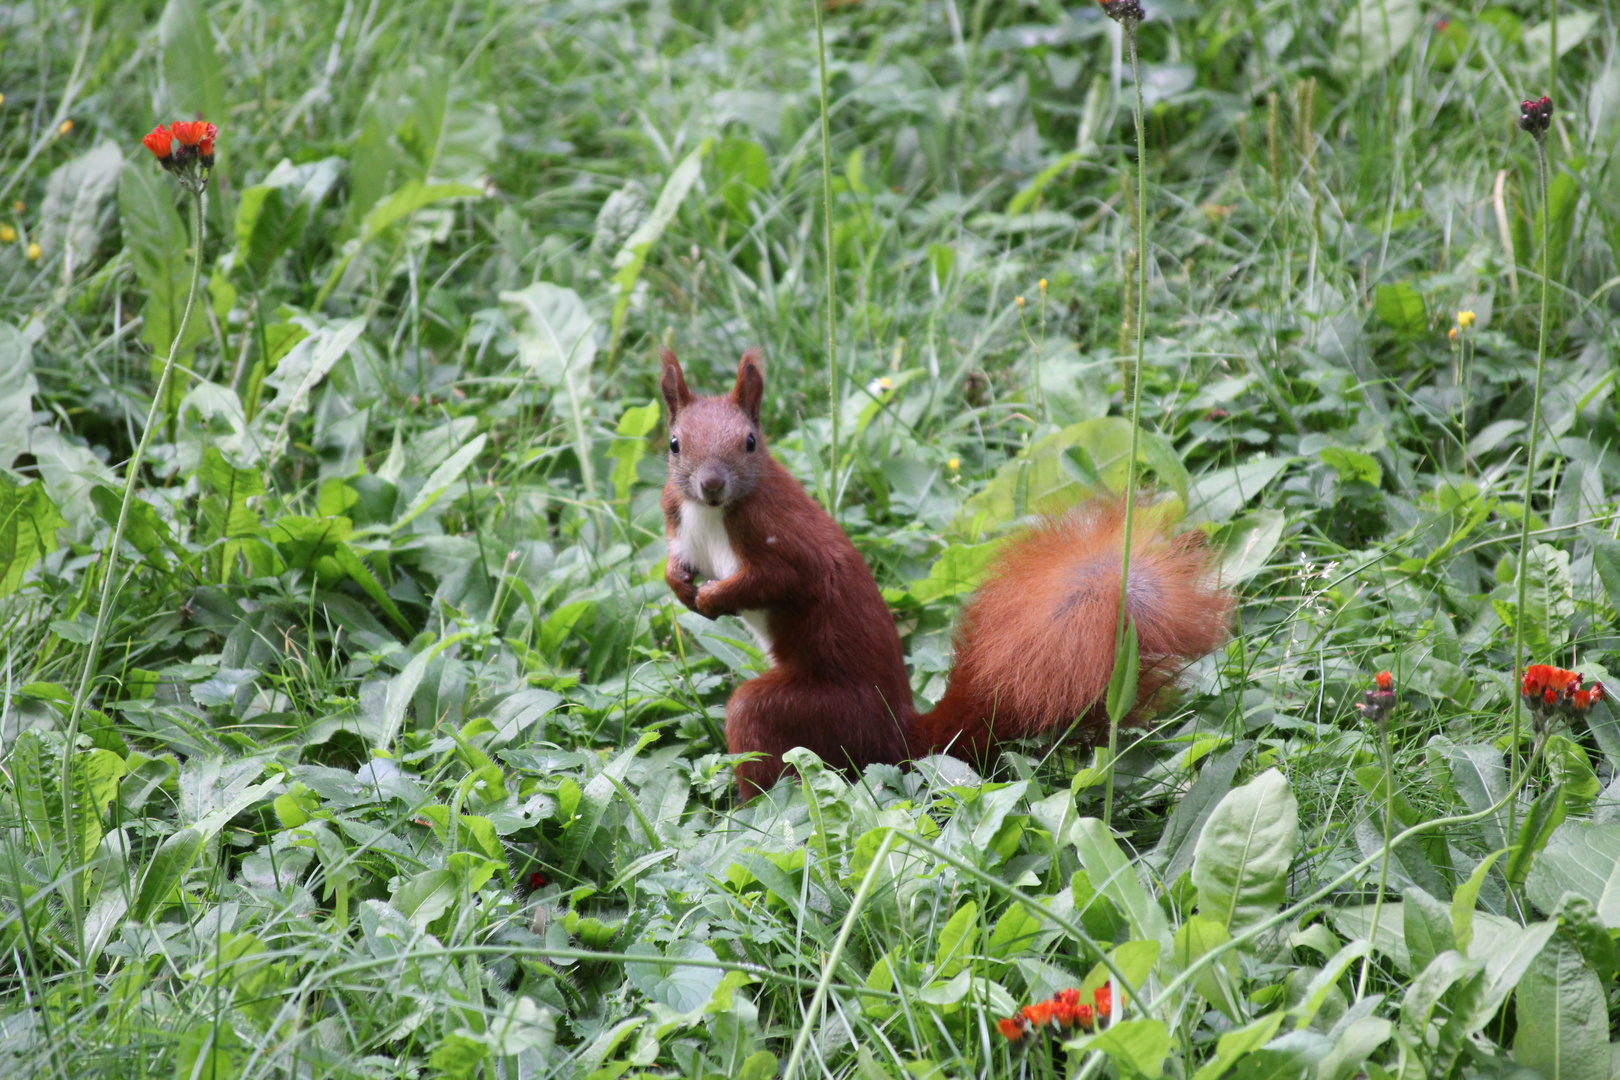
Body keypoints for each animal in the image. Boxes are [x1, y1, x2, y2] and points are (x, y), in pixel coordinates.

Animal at [657, 351, 1224, 799]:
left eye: (751, 442)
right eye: (674, 443)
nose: (711, 485)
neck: (713, 513)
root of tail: (898, 737)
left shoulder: (782, 540)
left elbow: (780, 580)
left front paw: (713, 599)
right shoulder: (679, 522)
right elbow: (676, 561)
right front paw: (679, 584)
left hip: (815, 711)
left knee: (755, 721)